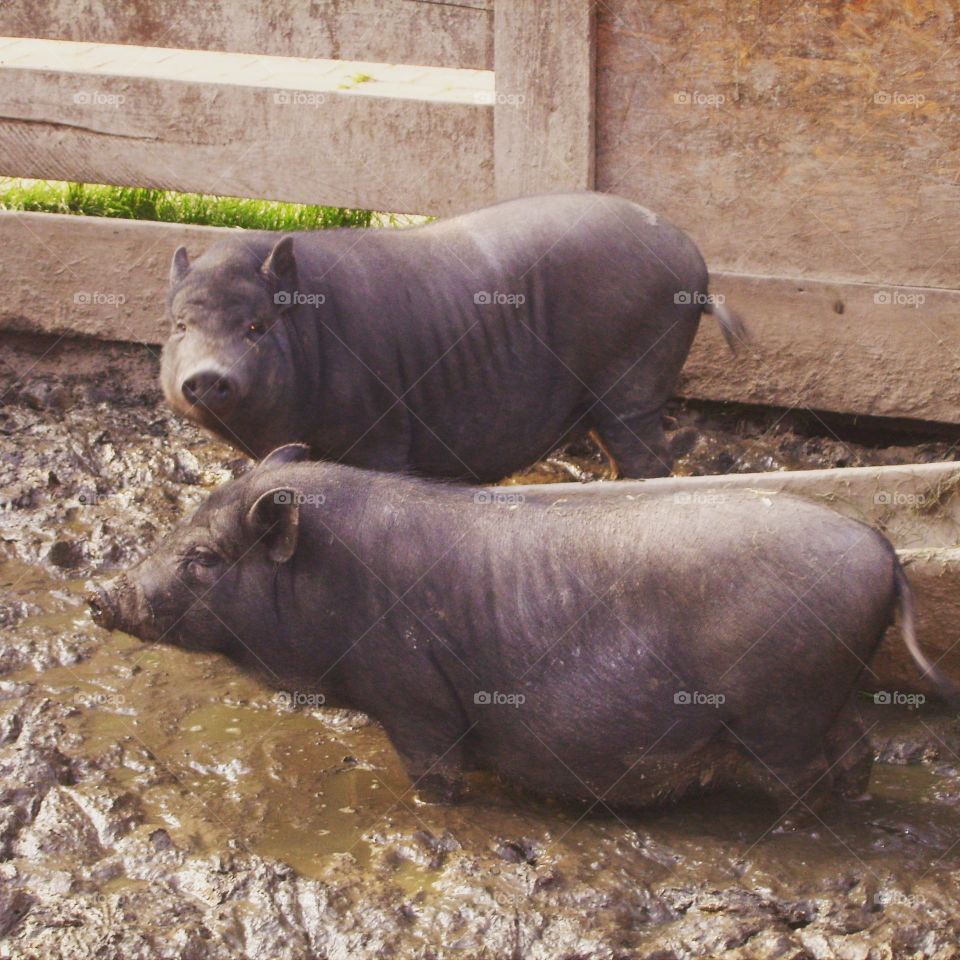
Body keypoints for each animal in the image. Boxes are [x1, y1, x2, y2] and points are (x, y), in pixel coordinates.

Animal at [87, 444, 957, 816]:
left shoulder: (413, 693)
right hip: (829, 691)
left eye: (203, 557)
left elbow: (433, 769)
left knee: (809, 773)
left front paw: (430, 806)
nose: (100, 594)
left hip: (782, 707)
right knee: (859, 750)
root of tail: (880, 549)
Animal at [160, 192, 747, 481]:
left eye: (255, 327)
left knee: (650, 458)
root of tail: (694, 264)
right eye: (181, 326)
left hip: (633, 381)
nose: (206, 377)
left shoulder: (381, 434)